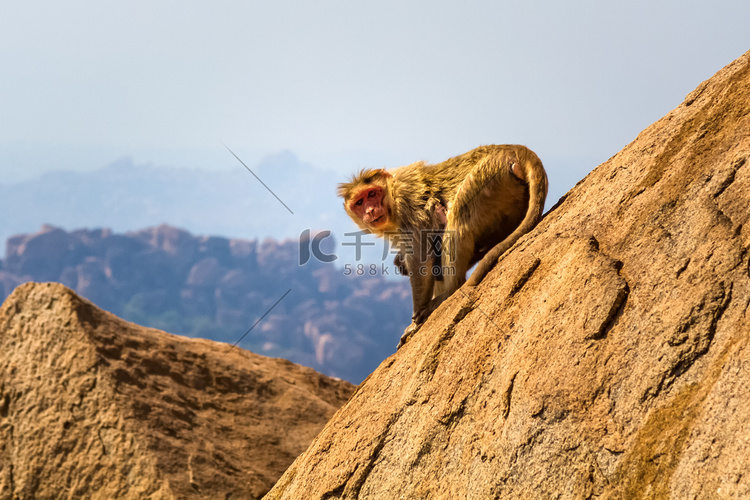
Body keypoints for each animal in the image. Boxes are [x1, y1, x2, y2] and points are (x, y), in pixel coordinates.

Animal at [340, 145, 548, 348]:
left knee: (459, 216)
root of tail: (517, 150)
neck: (392, 195)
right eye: (360, 202)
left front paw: (414, 322)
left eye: (372, 194)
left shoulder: (407, 203)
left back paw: (451, 290)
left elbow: (420, 259)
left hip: (489, 176)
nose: (370, 210)